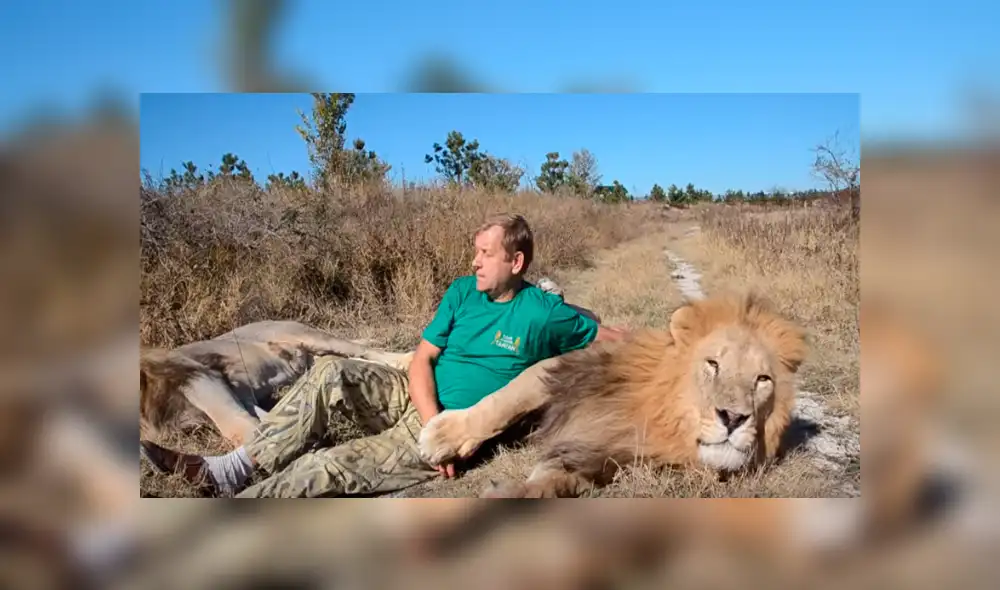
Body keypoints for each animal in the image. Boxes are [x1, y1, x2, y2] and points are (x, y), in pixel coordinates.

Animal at [140, 320, 414, 447]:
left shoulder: (202, 377)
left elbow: (235, 426)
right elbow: (259, 417)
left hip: (309, 335)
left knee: (367, 350)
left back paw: (408, 361)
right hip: (313, 358)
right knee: (347, 360)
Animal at [419, 291, 809, 498]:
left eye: (762, 380)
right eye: (712, 364)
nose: (733, 418)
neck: (654, 419)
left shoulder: (605, 456)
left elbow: (554, 480)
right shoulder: (566, 367)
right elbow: (503, 401)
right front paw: (440, 438)